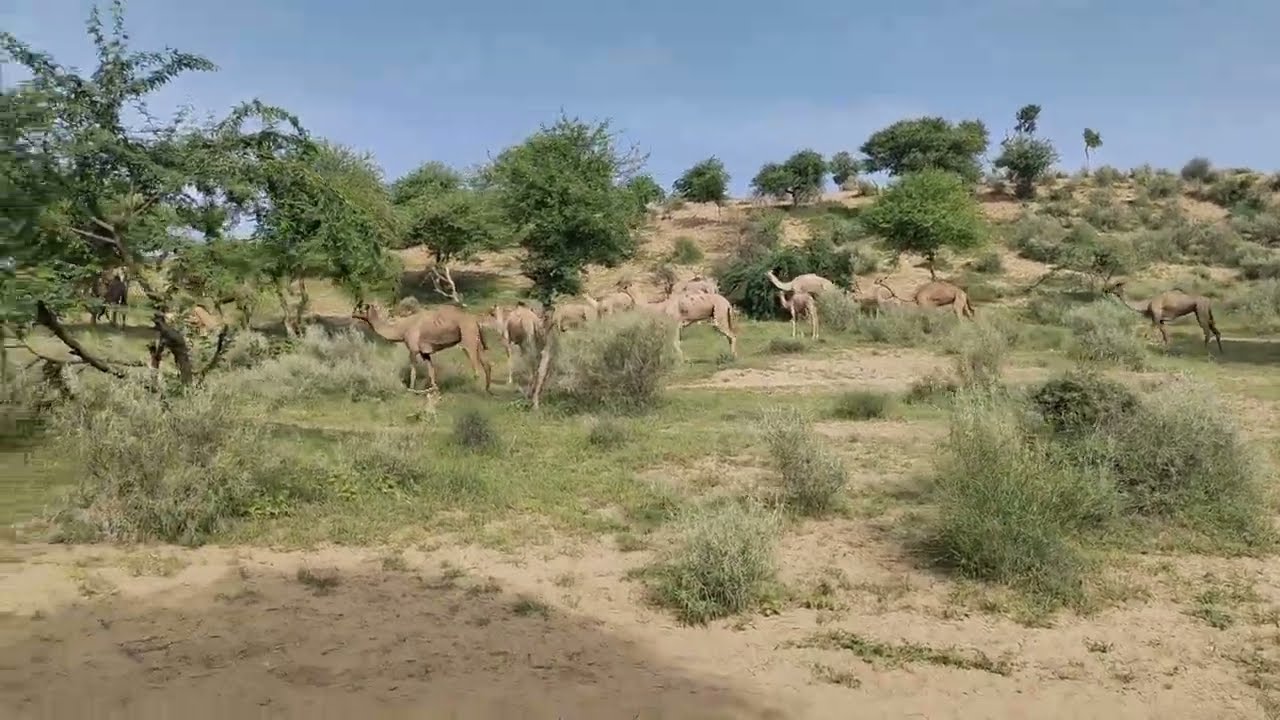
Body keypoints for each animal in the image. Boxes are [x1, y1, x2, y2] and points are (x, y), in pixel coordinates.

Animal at [352, 302, 492, 395]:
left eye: (360, 308)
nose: (353, 314)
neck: (401, 330)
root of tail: (475, 321)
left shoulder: (413, 350)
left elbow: (413, 371)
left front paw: (411, 389)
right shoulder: (425, 353)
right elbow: (431, 371)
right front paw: (434, 390)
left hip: (468, 339)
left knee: (476, 366)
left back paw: (475, 390)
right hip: (477, 341)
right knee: (486, 364)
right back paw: (486, 390)